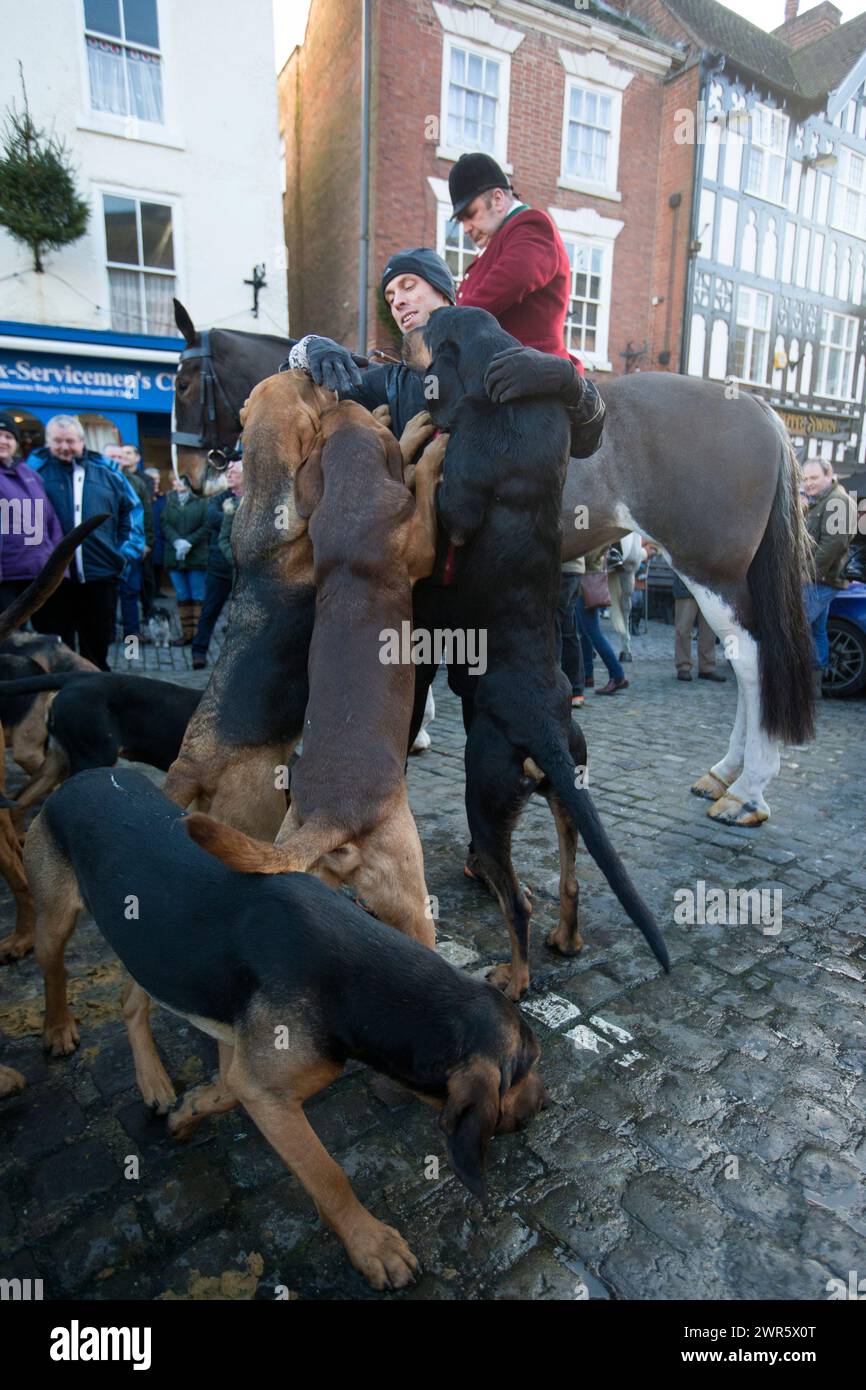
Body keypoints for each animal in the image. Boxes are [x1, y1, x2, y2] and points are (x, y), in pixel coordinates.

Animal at [173, 303, 817, 822]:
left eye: (181, 383)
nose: (193, 474)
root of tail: (758, 406)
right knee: (740, 662)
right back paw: (725, 774)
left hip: (709, 570)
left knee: (751, 662)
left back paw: (748, 792)